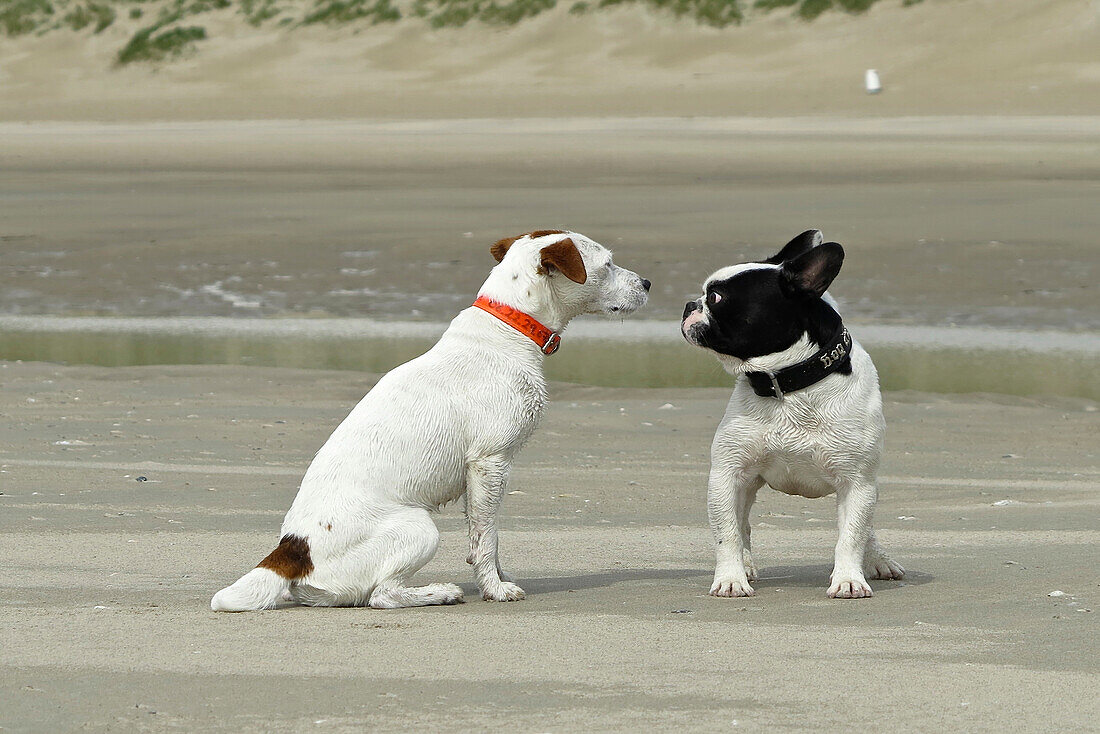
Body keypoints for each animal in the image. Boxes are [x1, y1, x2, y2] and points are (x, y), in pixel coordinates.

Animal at [210, 232, 646, 611]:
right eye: (607, 264)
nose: (648, 281)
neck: (507, 327)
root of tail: (291, 552)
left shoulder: (478, 475)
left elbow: (481, 536)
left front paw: (496, 578)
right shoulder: (490, 462)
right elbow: (487, 538)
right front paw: (494, 589)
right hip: (420, 528)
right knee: (381, 596)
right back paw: (439, 592)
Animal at [682, 232, 906, 598]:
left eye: (715, 297)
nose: (690, 304)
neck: (789, 383)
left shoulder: (857, 483)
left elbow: (852, 536)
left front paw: (848, 578)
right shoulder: (727, 476)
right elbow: (727, 533)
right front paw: (731, 578)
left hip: (869, 485)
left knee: (866, 527)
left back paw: (877, 561)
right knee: (742, 524)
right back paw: (746, 566)